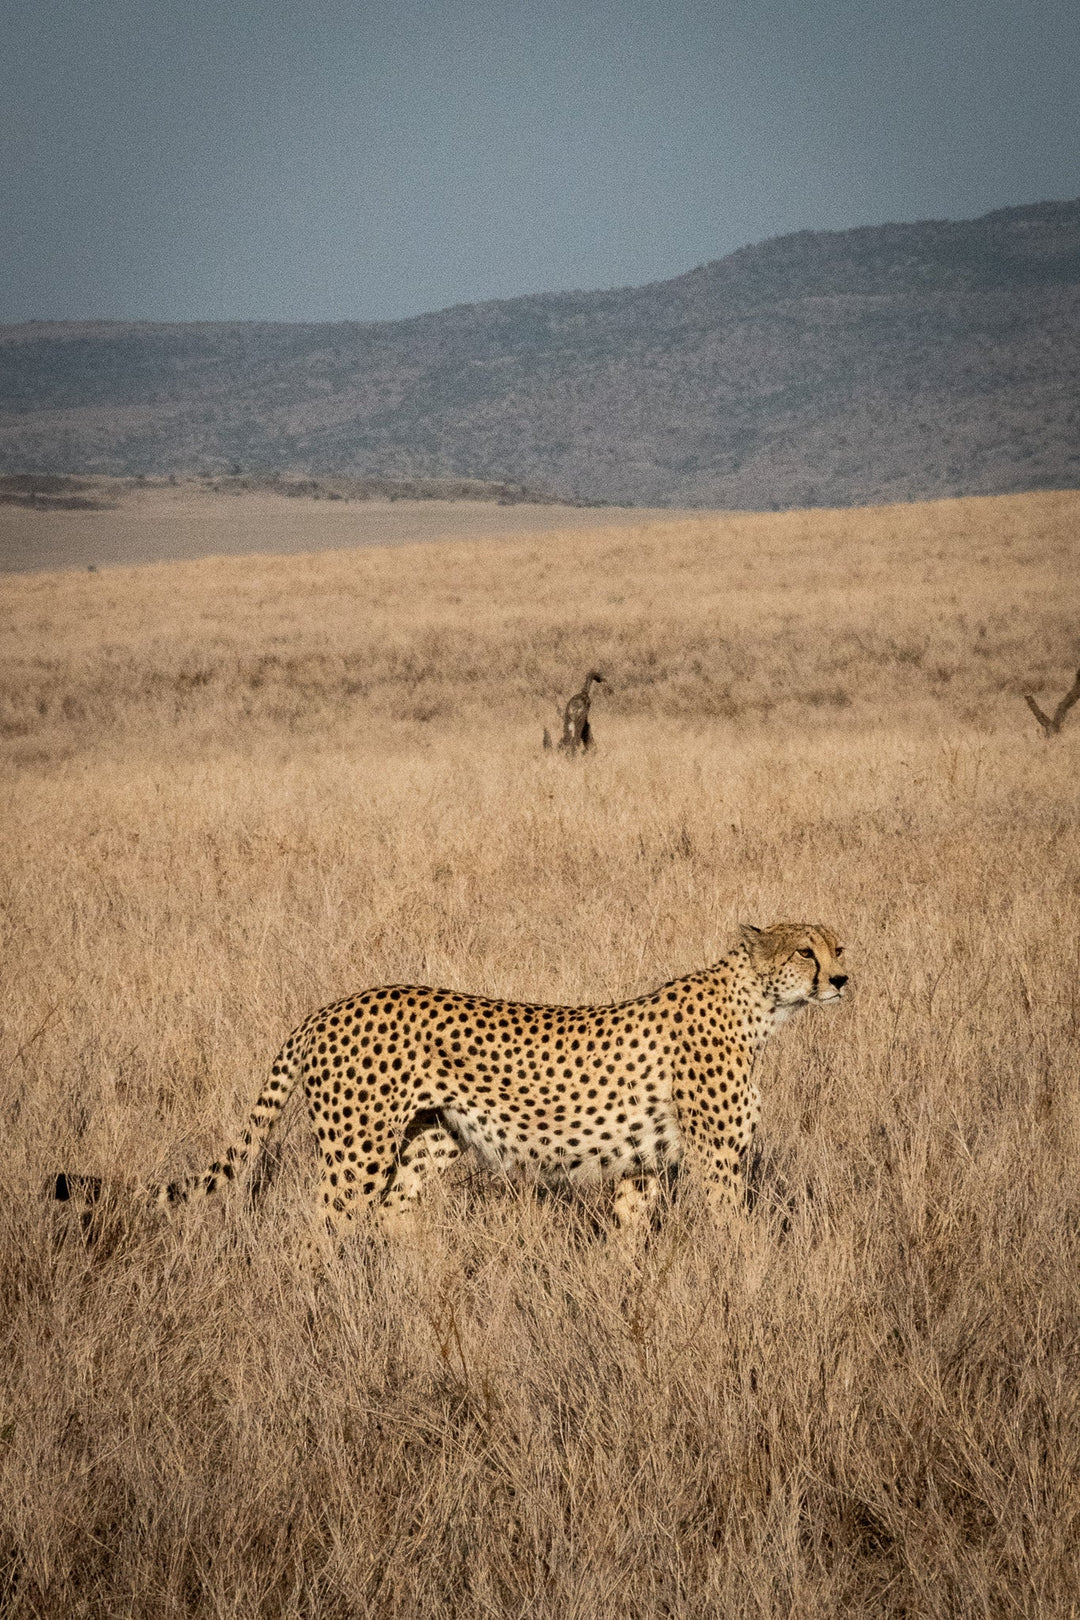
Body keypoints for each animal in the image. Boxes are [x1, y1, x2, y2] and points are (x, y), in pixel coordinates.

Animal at [52, 926, 841, 1237]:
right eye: (806, 950)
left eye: (839, 944)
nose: (842, 978)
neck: (758, 1007)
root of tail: (326, 1008)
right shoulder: (715, 1162)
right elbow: (738, 1234)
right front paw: (750, 1292)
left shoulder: (642, 1164)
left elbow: (630, 1236)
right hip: (357, 1150)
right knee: (324, 1231)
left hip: (435, 1136)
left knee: (394, 1212)